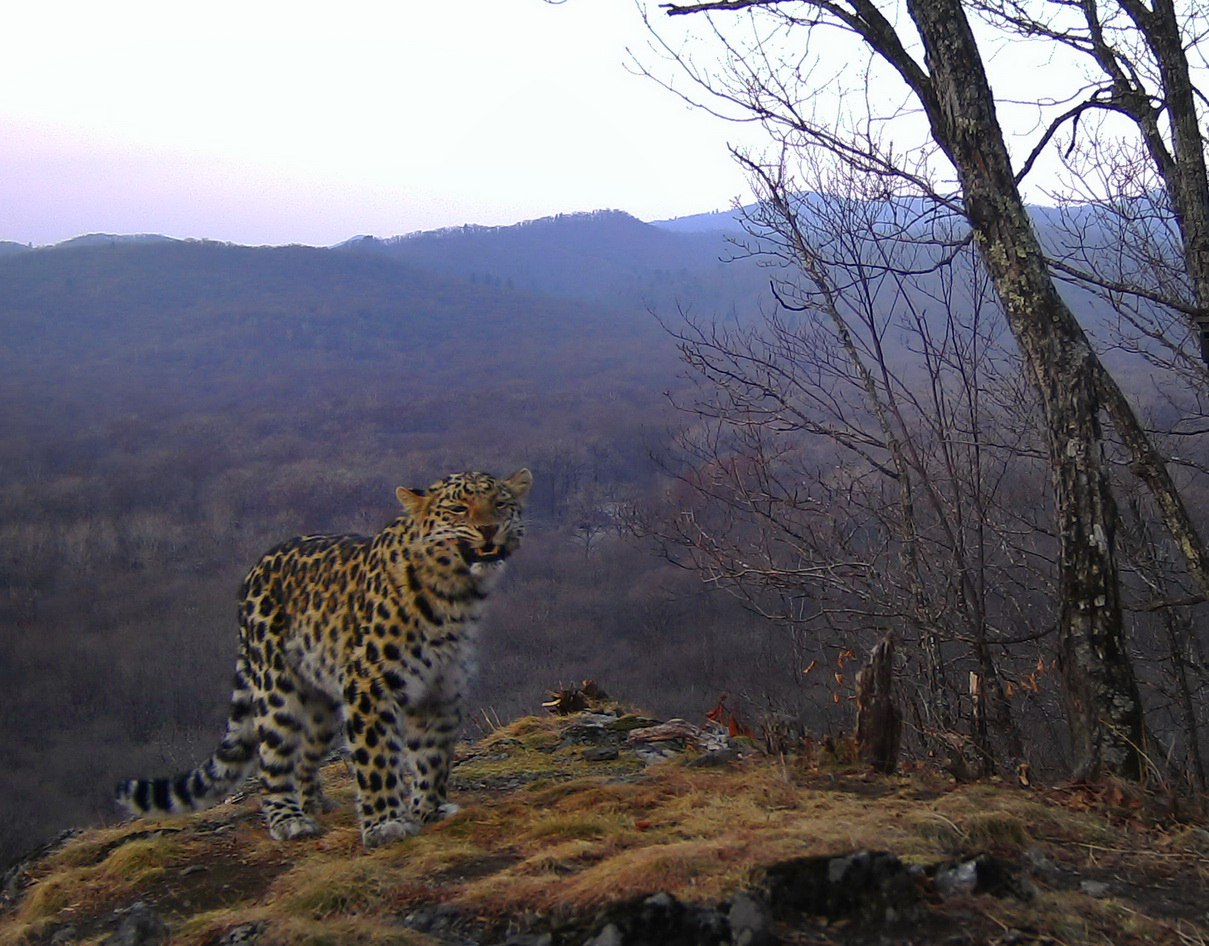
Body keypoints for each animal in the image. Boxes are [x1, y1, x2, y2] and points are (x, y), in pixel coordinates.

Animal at [119, 469, 534, 846]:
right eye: (459, 509)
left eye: (500, 504)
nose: (488, 530)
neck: (456, 598)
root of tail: (254, 569)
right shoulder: (371, 684)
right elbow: (377, 756)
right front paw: (385, 824)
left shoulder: (442, 691)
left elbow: (432, 755)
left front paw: (429, 809)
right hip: (277, 691)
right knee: (273, 761)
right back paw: (289, 820)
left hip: (319, 703)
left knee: (305, 755)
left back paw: (315, 804)